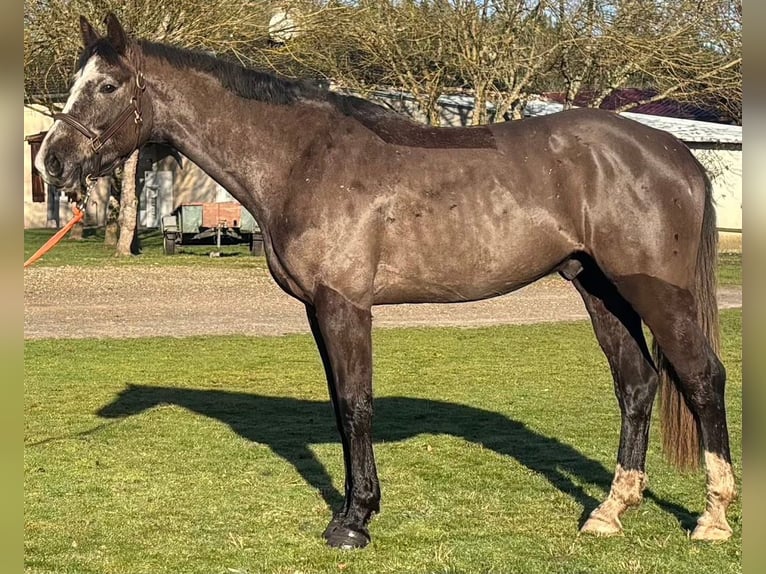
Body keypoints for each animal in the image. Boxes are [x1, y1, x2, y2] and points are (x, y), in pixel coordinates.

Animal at [35, 13, 736, 549]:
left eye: (106, 84)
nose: (52, 162)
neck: (300, 159)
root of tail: (674, 153)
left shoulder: (345, 305)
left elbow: (355, 405)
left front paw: (353, 522)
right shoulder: (318, 309)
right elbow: (342, 406)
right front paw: (355, 510)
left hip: (656, 292)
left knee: (702, 378)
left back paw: (713, 517)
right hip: (598, 287)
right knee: (637, 384)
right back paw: (610, 512)